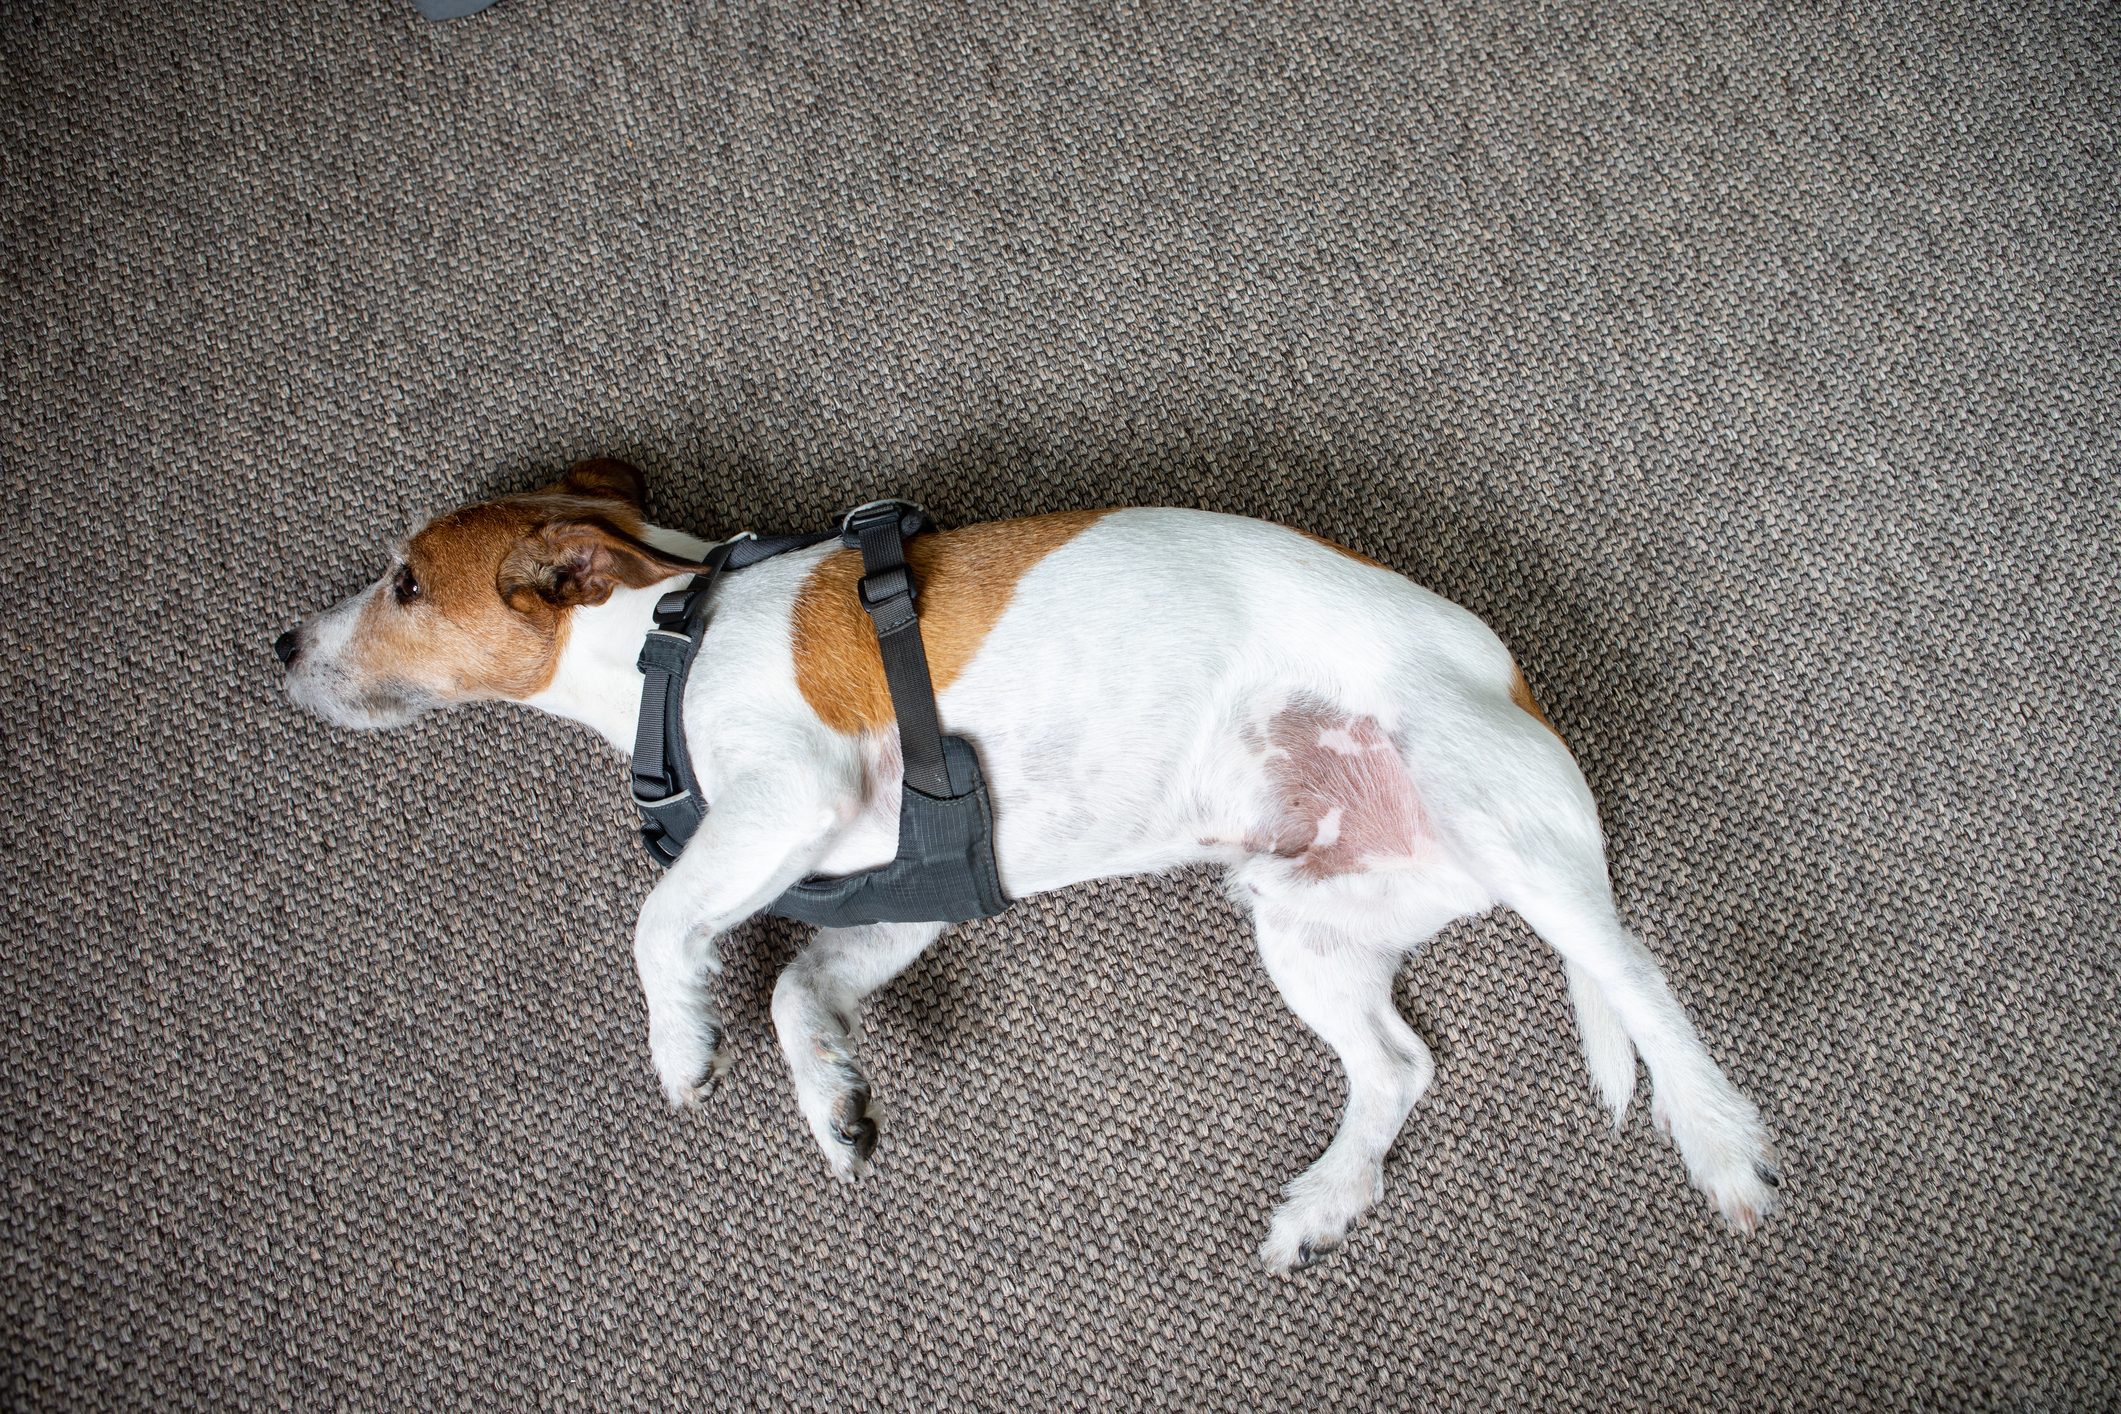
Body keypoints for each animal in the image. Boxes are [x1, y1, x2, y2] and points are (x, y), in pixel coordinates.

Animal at [277, 460, 1773, 1263]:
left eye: (405, 584)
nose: (280, 643)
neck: (667, 635)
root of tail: (1519, 680)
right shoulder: (899, 898)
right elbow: (797, 986)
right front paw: (831, 1099)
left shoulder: (790, 793)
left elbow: (662, 926)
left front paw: (680, 1043)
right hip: (1302, 922)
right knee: (1400, 1065)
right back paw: (1328, 1199)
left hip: (1497, 817)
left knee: (1638, 980)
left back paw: (1719, 1142)